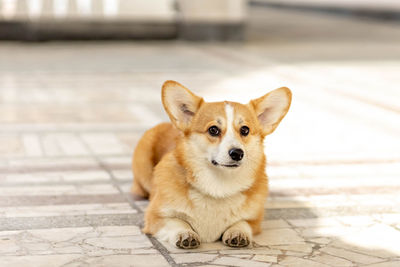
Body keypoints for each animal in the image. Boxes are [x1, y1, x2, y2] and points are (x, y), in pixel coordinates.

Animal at [131, 80, 290, 250]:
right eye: (213, 130)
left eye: (245, 130)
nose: (237, 153)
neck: (219, 186)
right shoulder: (155, 217)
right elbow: (176, 222)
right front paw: (185, 234)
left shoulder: (254, 221)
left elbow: (242, 223)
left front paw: (237, 232)